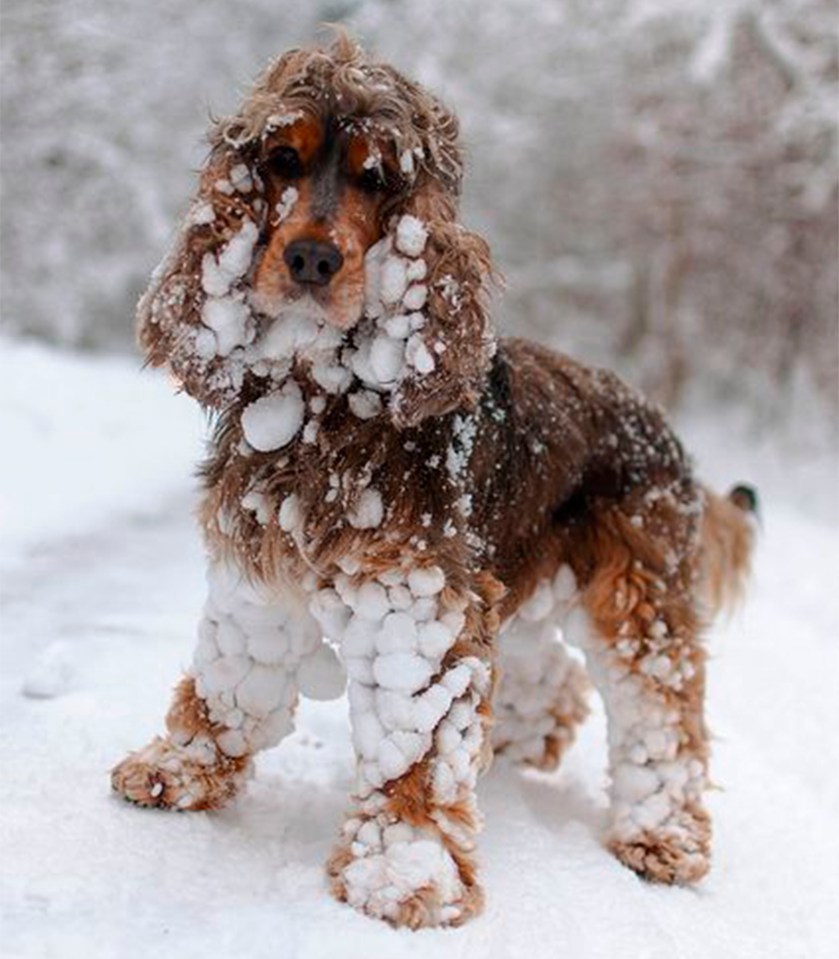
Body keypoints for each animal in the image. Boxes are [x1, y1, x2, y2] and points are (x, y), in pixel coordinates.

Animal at [108, 35, 756, 928]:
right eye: (281, 159)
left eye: (377, 177)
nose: (311, 257)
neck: (324, 401)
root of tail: (663, 429)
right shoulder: (258, 569)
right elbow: (231, 677)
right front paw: (180, 765)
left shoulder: (416, 600)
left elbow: (415, 745)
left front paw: (401, 873)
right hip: (518, 569)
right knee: (551, 672)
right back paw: (520, 741)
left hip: (636, 594)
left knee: (663, 713)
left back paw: (662, 836)